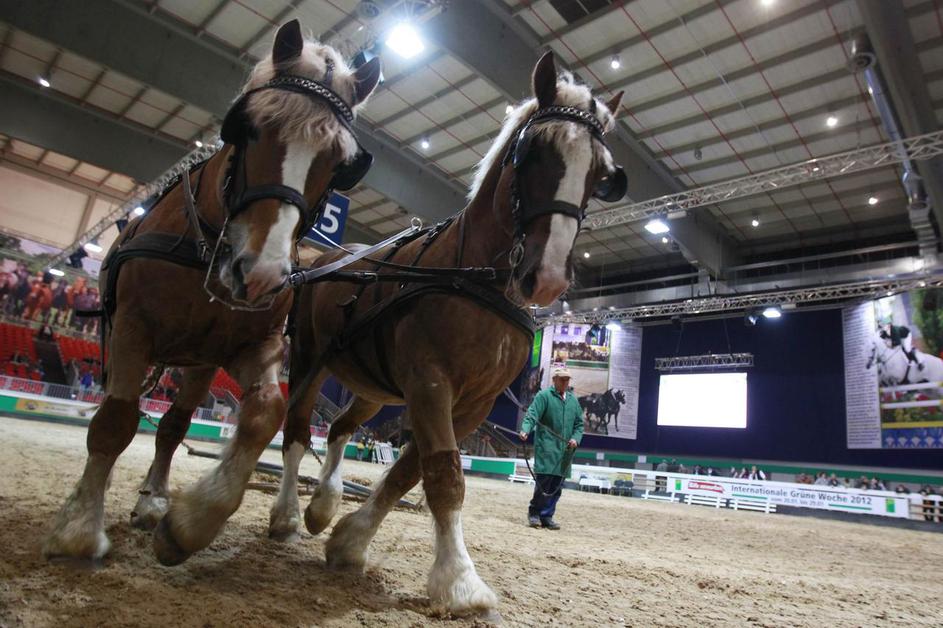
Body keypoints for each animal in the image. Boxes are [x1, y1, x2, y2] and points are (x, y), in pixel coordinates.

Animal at [42, 19, 382, 564]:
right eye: (249, 128)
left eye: (339, 163)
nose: (261, 274)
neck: (207, 247)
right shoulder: (131, 328)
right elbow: (115, 420)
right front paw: (78, 528)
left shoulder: (254, 344)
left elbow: (265, 413)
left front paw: (191, 521)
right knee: (119, 415)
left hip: (200, 363)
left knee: (175, 423)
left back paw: (154, 499)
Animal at [268, 52, 627, 619]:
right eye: (532, 152)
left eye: (600, 174)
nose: (547, 277)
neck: (476, 277)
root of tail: (324, 257)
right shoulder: (430, 382)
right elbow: (444, 474)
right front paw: (459, 581)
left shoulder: (472, 404)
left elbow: (409, 470)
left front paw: (350, 539)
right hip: (310, 361)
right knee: (300, 429)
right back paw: (285, 514)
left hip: (371, 387)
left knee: (343, 428)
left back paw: (323, 504)